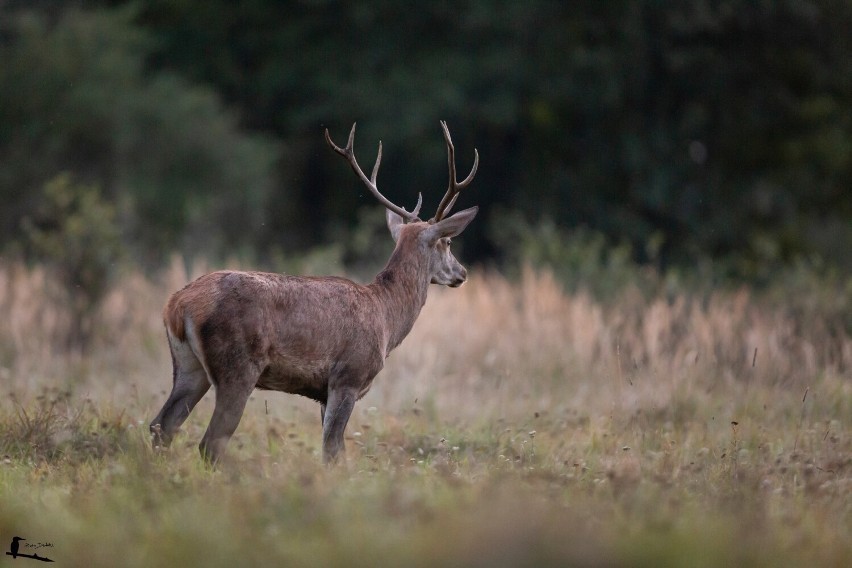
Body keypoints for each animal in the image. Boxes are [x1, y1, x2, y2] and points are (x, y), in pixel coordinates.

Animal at [148, 122, 480, 464]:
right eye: (448, 242)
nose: (462, 273)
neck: (386, 317)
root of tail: (177, 305)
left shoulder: (323, 393)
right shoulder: (348, 375)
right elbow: (332, 450)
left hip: (188, 365)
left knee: (162, 425)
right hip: (237, 366)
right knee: (210, 441)